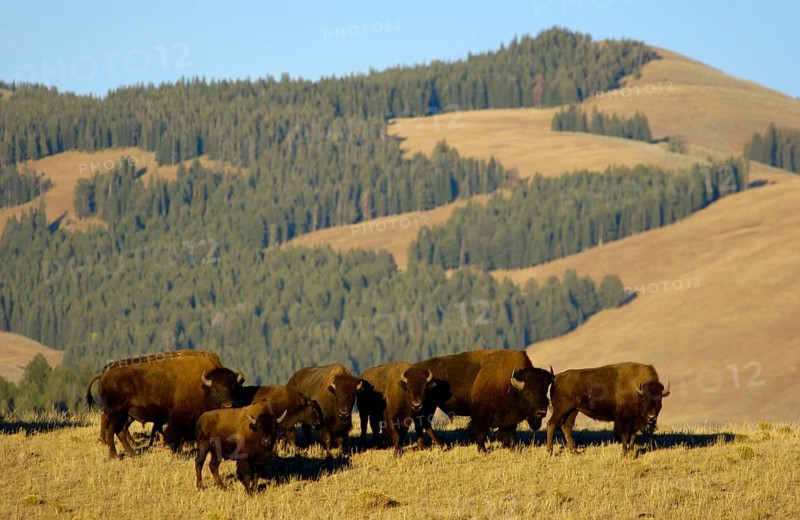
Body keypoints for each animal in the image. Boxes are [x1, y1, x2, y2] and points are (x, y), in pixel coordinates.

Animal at [414, 349, 554, 452]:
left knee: (423, 423)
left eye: (545, 393)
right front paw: (483, 450)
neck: (509, 384)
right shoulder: (482, 415)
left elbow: (509, 432)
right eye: (527, 393)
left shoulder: (509, 418)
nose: (541, 412)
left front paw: (512, 447)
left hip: (429, 407)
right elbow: (479, 431)